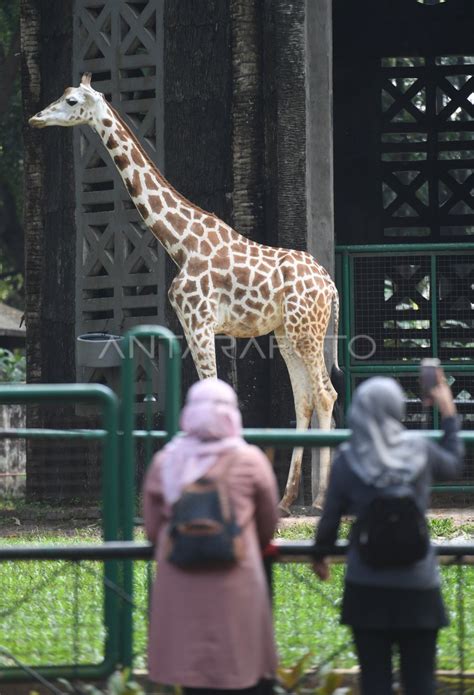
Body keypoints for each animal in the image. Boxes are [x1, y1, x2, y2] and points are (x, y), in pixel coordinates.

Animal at [30, 73, 344, 512]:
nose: (36, 119)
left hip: (307, 330)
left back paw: (319, 501)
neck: (180, 241)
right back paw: (285, 501)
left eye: (72, 100)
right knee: (306, 398)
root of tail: (330, 285)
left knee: (326, 393)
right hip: (287, 333)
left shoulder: (200, 321)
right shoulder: (194, 325)